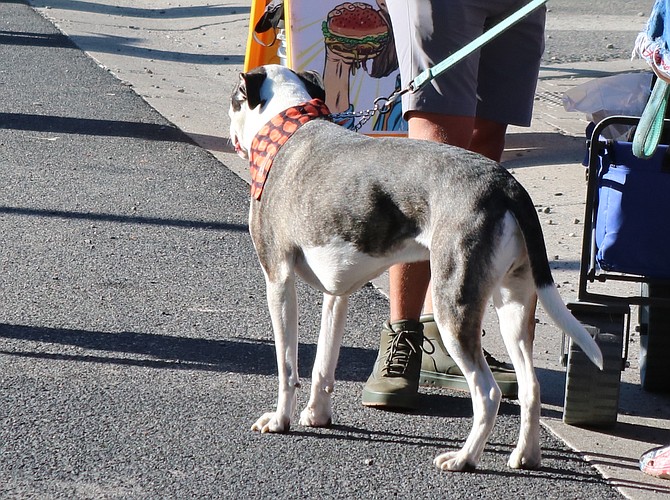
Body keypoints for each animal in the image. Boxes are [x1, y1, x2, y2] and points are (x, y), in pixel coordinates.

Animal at [230, 65, 604, 472]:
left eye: (234, 99)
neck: (288, 130)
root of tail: (505, 184)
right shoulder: (337, 296)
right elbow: (322, 366)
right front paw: (317, 415)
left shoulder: (278, 280)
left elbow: (287, 366)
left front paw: (279, 420)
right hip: (514, 306)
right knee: (529, 386)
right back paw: (526, 455)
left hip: (453, 307)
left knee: (487, 393)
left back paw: (464, 458)